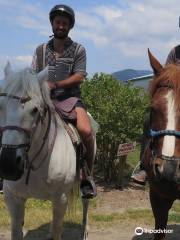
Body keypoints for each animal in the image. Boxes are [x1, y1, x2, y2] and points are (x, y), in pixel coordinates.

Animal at [0, 63, 97, 240]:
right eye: (0, 106)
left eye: (34, 110)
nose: (8, 166)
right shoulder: (14, 199)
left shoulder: (60, 199)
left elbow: (58, 231)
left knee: (85, 202)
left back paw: (84, 229)